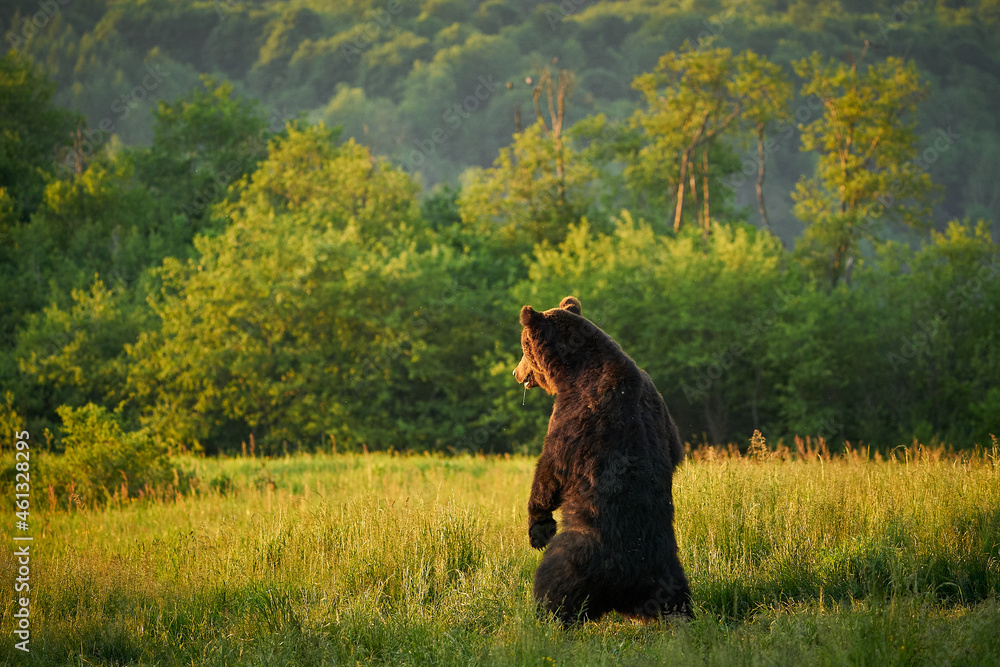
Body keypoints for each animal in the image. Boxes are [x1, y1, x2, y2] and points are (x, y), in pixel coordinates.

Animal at [513, 295, 692, 624]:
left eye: (523, 348)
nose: (516, 372)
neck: (573, 372)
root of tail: (626, 587)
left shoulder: (576, 415)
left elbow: (551, 468)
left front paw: (538, 528)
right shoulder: (662, 414)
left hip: (580, 553)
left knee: (554, 581)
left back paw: (545, 617)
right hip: (667, 565)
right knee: (675, 595)